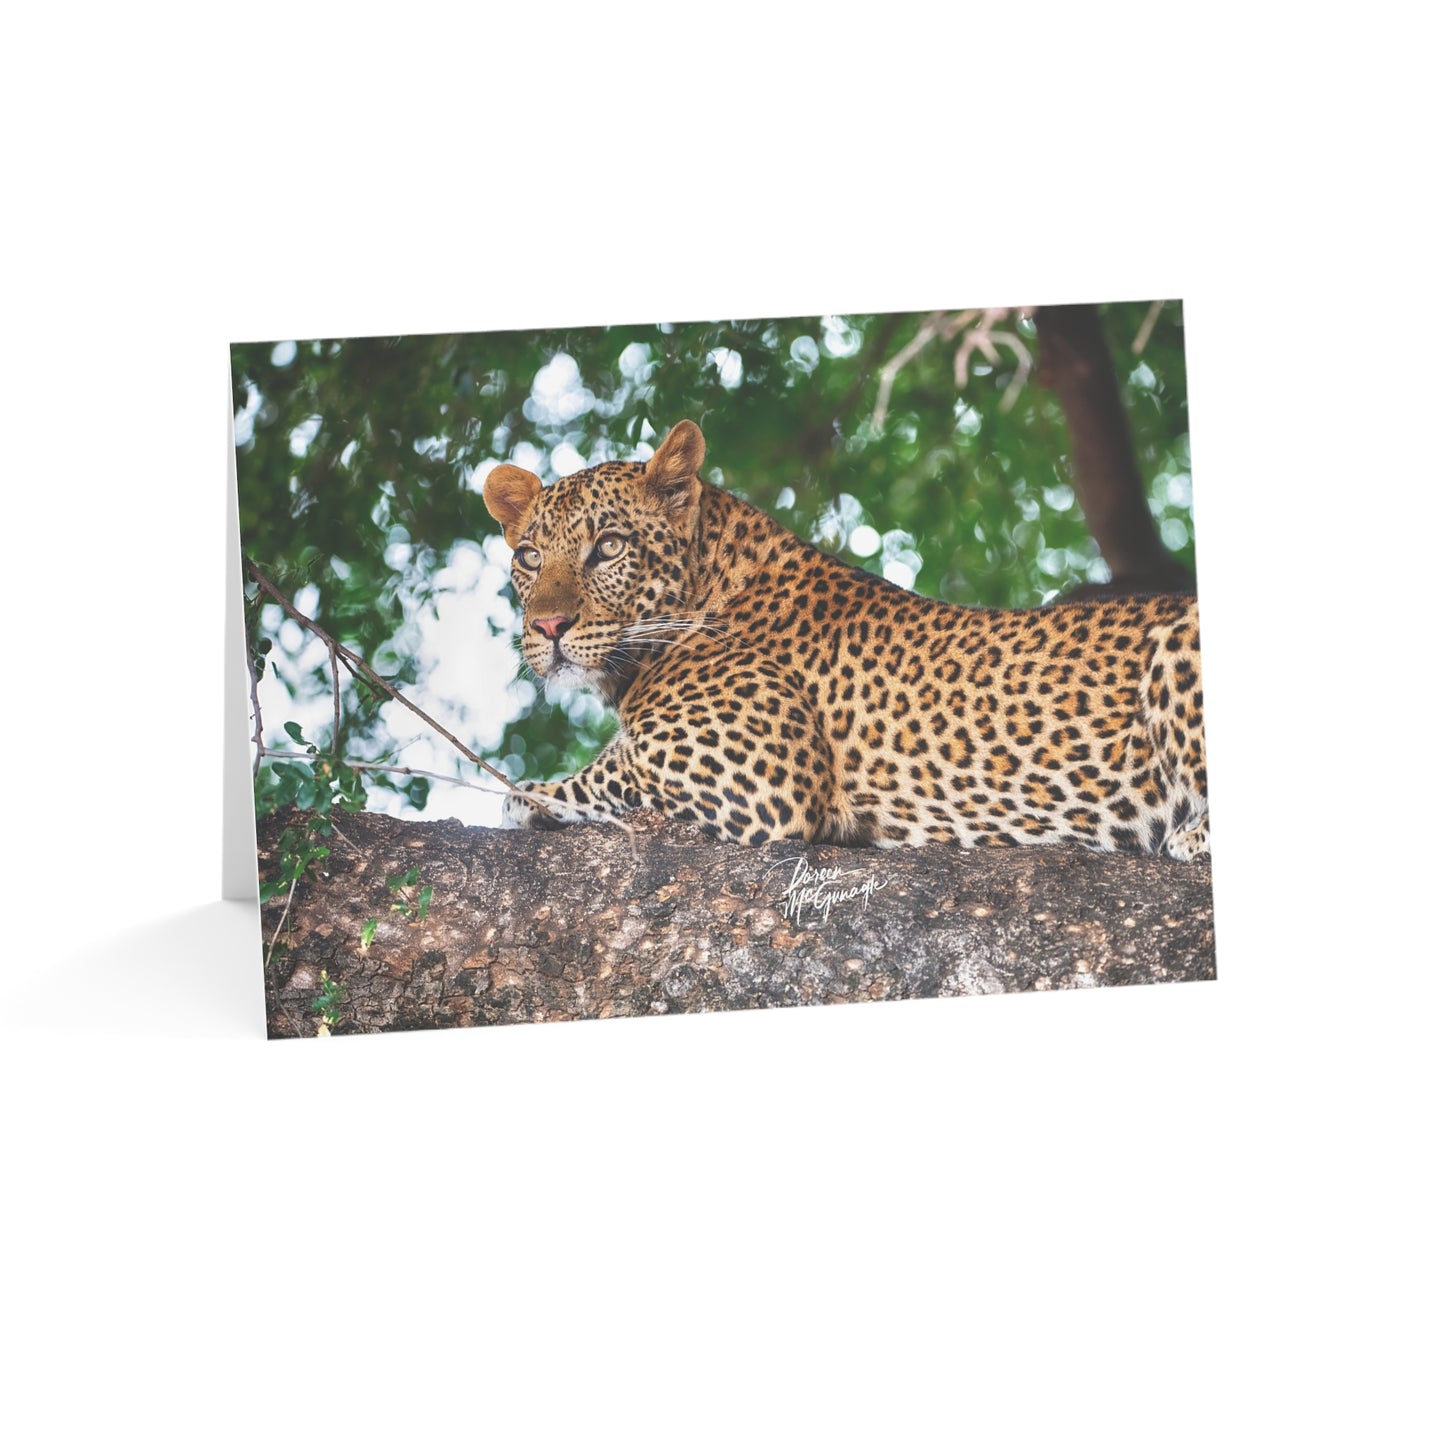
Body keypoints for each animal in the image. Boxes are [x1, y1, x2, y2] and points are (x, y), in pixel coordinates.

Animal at [482, 420, 1208, 859]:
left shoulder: (756, 775)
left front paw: (529, 796)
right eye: (528, 558)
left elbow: (604, 771)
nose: (548, 628)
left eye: (607, 547)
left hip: (1179, 645)